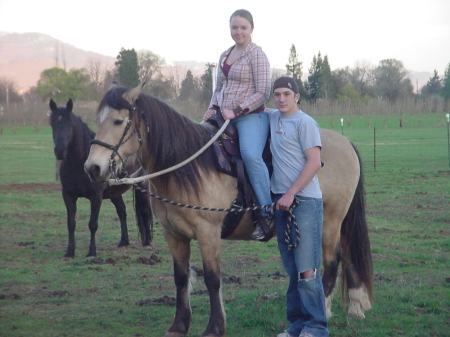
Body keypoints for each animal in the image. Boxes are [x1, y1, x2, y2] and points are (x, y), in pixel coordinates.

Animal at [48, 98, 152, 256]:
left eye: (69, 124)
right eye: (52, 124)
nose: (60, 151)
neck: (78, 164)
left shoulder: (96, 197)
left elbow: (93, 224)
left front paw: (92, 252)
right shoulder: (68, 195)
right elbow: (71, 223)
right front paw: (70, 251)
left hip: (142, 186)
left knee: (144, 211)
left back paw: (147, 243)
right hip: (115, 192)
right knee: (122, 212)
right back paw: (123, 242)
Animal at [83, 84, 372, 336]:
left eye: (118, 121)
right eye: (99, 120)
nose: (92, 168)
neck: (187, 167)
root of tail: (345, 143)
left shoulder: (208, 232)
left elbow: (212, 279)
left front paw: (214, 328)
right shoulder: (173, 234)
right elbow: (180, 278)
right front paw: (179, 325)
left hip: (330, 221)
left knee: (333, 261)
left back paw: (325, 309)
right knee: (348, 254)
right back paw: (356, 306)